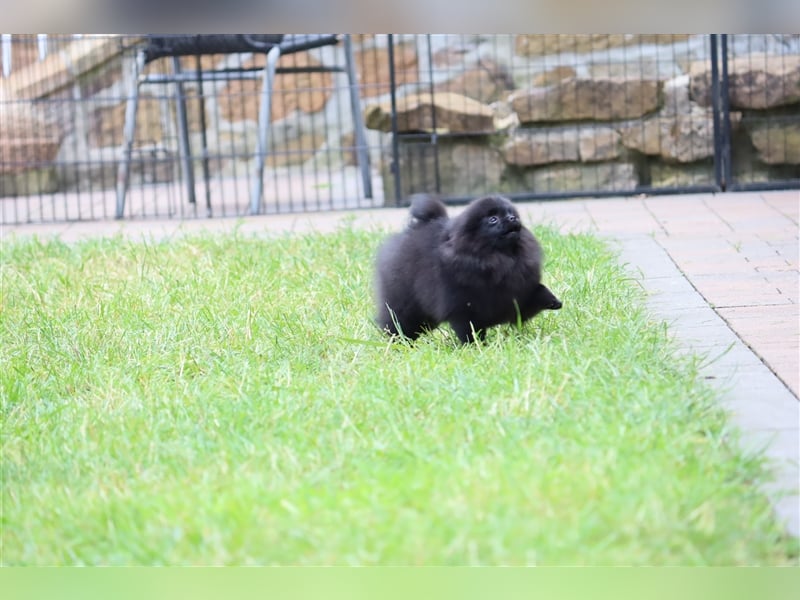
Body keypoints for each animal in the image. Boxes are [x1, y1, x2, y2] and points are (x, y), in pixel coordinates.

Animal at [376, 193, 564, 342]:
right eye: (493, 219)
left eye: (511, 214)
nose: (512, 218)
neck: (499, 257)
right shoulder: (463, 309)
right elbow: (469, 330)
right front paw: (476, 346)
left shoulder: (517, 292)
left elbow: (535, 293)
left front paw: (553, 300)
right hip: (405, 305)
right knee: (398, 322)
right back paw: (399, 342)